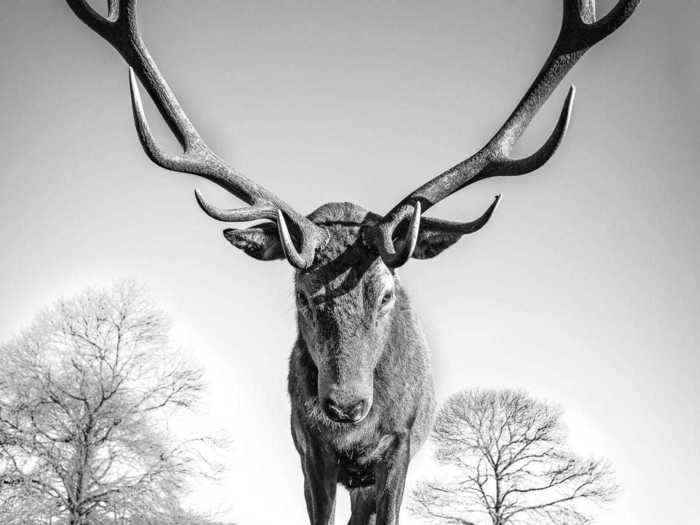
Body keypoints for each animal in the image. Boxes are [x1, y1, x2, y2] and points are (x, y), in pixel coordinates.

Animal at [65, 1, 640, 524]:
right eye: (301, 293)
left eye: (386, 292)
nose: (345, 405)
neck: (356, 436)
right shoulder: (310, 451)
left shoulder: (400, 448)